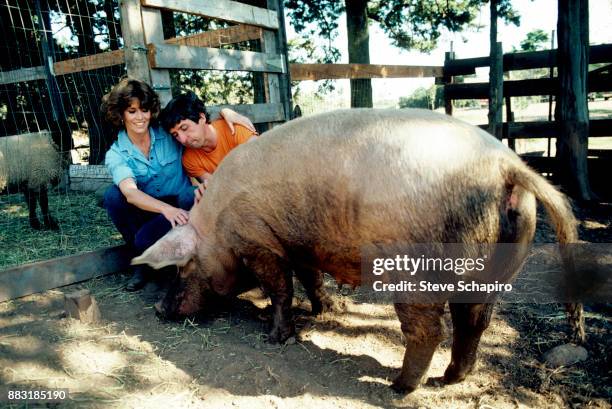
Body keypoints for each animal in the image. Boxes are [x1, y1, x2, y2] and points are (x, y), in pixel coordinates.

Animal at [134, 108, 584, 392]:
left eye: (181, 268)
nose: (156, 309)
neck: (216, 228)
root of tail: (505, 166)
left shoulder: (259, 240)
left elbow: (280, 289)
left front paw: (274, 338)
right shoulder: (301, 244)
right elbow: (311, 278)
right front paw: (328, 311)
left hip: (413, 265)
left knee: (428, 329)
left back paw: (400, 387)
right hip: (499, 263)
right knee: (474, 321)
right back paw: (448, 380)